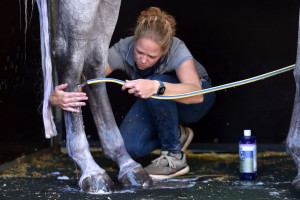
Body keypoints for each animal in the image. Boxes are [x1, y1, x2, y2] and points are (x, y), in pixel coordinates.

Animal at [37, 0, 152, 194]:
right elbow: (70, 56)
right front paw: (90, 170)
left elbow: (95, 60)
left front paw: (126, 164)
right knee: (70, 56)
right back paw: (91, 168)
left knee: (92, 59)